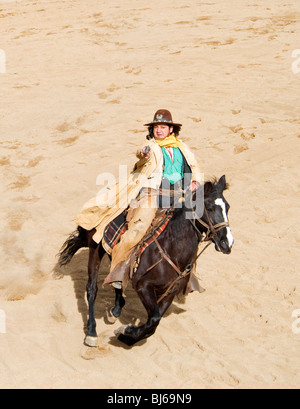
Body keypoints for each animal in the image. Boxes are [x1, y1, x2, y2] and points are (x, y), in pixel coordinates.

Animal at [57, 175, 233, 344]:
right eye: (209, 207)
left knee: (117, 274)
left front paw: (127, 336)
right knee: (92, 288)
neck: (171, 249)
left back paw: (116, 309)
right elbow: (154, 318)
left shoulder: (170, 292)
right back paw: (92, 332)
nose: (227, 243)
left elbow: (154, 323)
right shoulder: (143, 286)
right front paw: (126, 331)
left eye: (228, 207)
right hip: (95, 249)